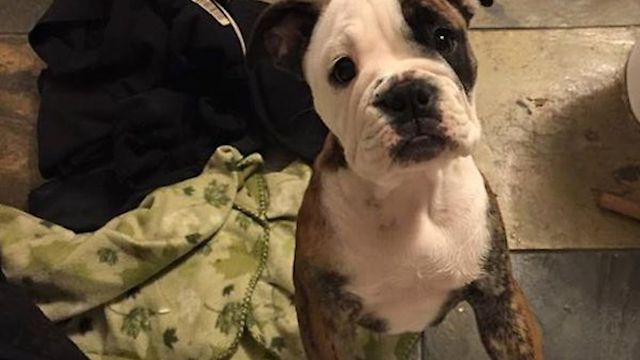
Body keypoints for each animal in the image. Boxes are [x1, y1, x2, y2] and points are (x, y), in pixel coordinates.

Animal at [248, 0, 544, 360]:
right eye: (343, 70)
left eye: (443, 37)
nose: (408, 93)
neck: (412, 189)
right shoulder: (326, 321)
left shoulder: (500, 298)